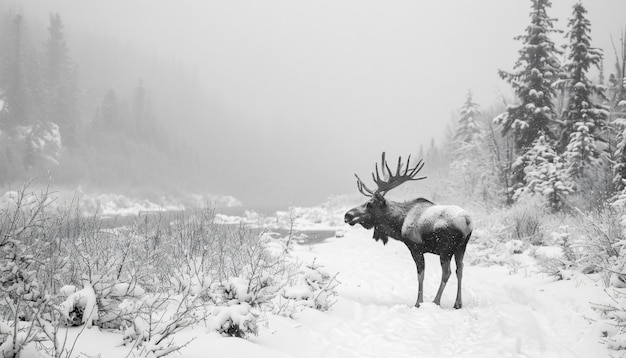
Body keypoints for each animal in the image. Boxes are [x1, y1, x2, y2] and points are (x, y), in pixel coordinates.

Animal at [344, 153, 470, 308]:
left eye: (369, 204)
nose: (347, 215)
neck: (399, 224)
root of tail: (467, 221)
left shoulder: (415, 247)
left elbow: (420, 275)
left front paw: (418, 303)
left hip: (445, 248)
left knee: (447, 272)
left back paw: (436, 301)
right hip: (461, 247)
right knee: (460, 270)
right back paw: (457, 303)